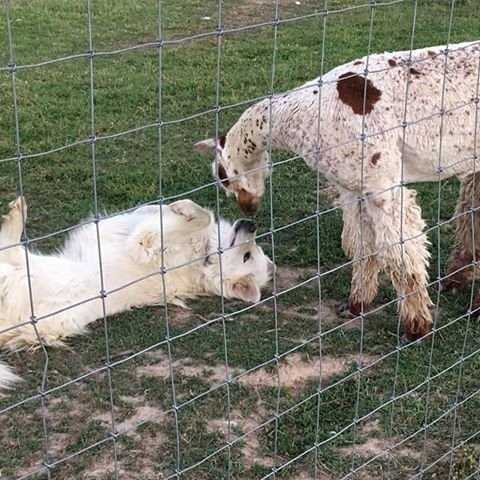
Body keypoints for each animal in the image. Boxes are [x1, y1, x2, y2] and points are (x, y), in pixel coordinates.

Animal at [0, 197, 274, 392]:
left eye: (247, 255)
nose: (252, 224)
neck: (204, 260)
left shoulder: (144, 242)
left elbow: (201, 217)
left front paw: (183, 210)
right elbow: (156, 211)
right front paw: (172, 207)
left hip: (36, 270)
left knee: (11, 249)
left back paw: (16, 215)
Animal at [195, 39, 480, 344]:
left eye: (223, 178)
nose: (247, 208)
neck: (310, 112)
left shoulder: (382, 185)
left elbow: (401, 254)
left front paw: (416, 327)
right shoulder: (354, 188)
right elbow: (361, 244)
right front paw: (356, 305)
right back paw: (457, 282)